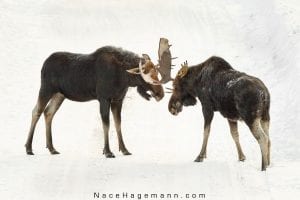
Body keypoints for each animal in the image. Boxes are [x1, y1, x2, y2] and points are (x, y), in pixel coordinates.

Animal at [26, 42, 176, 158]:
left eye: (156, 72)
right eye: (145, 74)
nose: (160, 93)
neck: (124, 78)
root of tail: (44, 64)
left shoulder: (118, 100)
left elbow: (118, 124)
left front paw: (124, 149)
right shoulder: (104, 98)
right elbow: (107, 124)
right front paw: (108, 151)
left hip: (59, 94)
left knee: (48, 112)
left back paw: (51, 148)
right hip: (46, 89)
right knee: (36, 111)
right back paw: (29, 148)